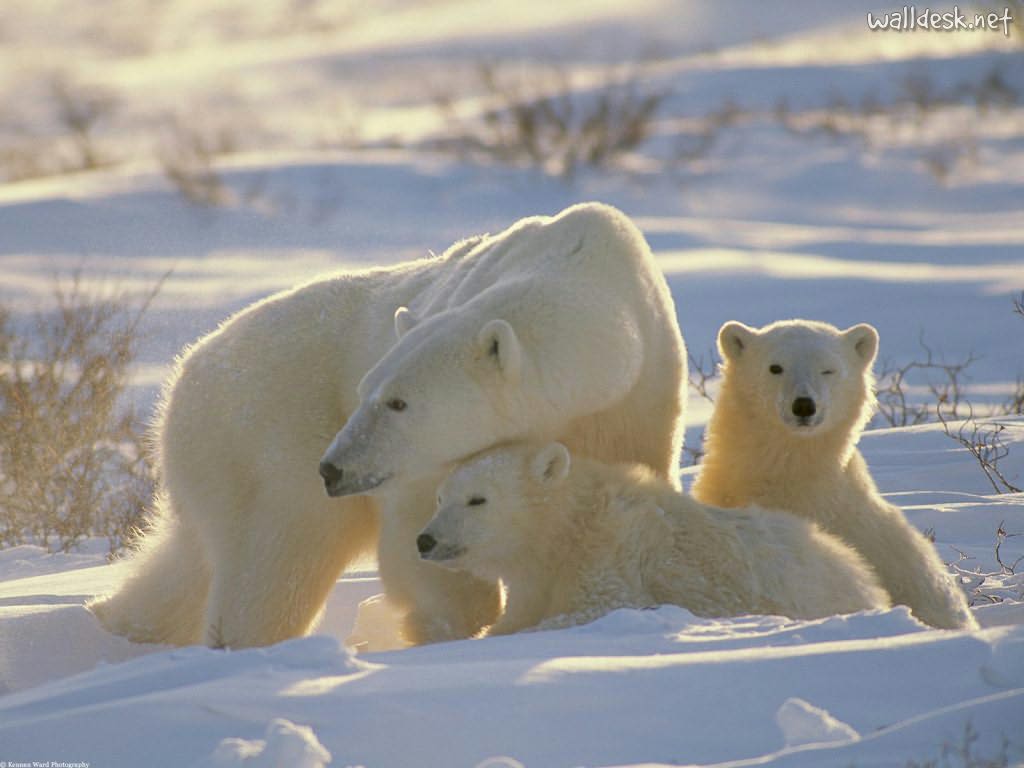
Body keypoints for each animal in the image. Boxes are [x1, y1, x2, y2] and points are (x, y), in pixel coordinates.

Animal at [89, 202, 687, 648]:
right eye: (366, 391)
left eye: (397, 402)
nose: (332, 468)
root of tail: (184, 372)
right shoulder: (422, 466)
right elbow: (419, 535)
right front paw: (454, 624)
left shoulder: (638, 402)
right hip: (266, 431)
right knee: (281, 554)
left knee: (188, 559)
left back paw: (114, 621)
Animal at [417, 440, 891, 635]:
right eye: (439, 497)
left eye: (477, 499)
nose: (425, 540)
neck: (570, 527)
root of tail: (864, 575)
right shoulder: (536, 577)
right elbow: (516, 614)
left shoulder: (612, 553)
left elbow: (597, 607)